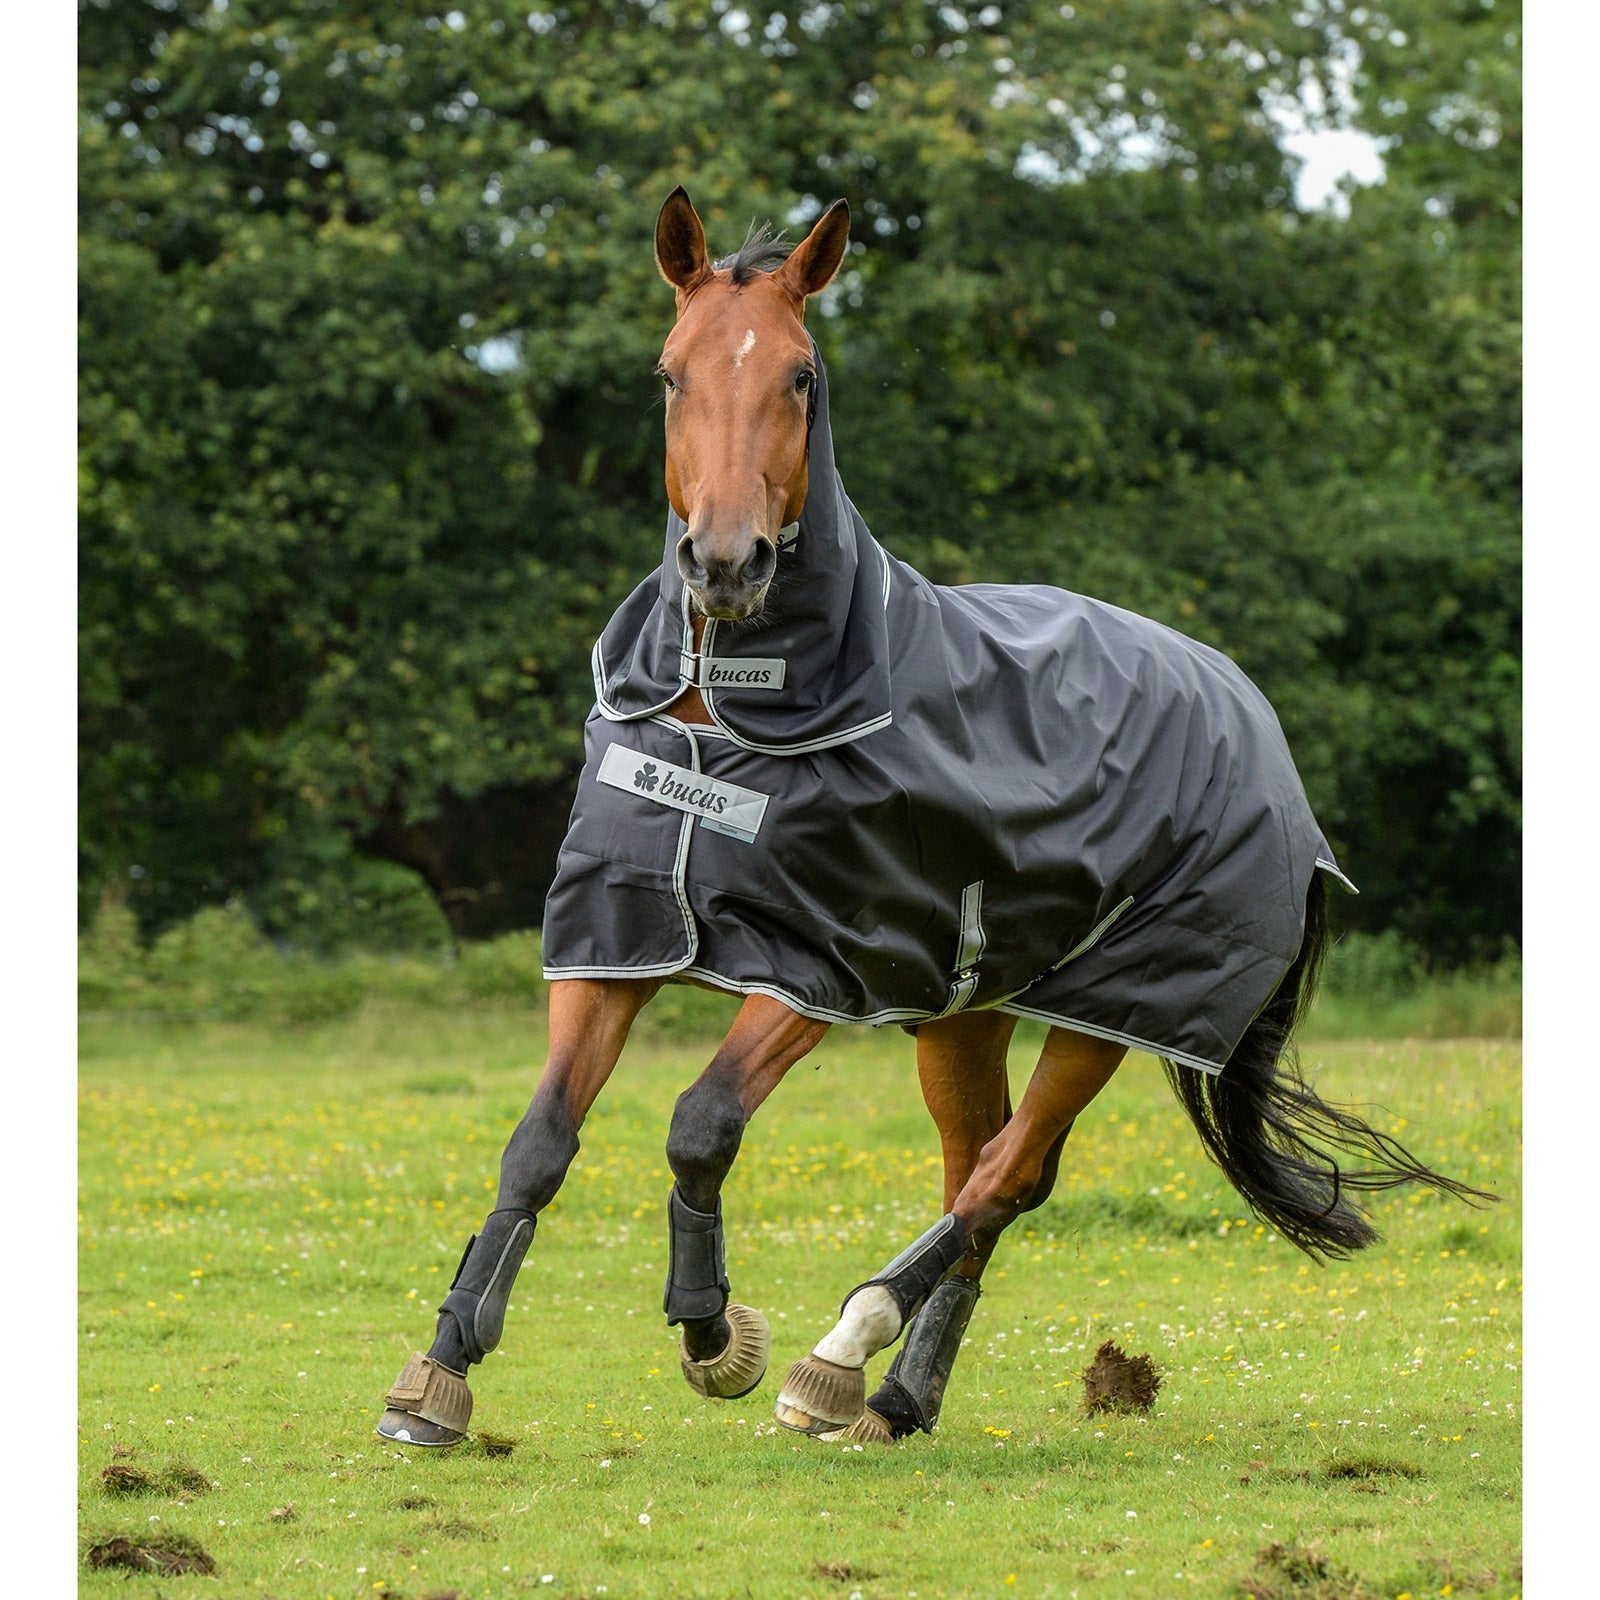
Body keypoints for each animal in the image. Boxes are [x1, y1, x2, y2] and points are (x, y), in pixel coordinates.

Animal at [375, 187, 1486, 1450]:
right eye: (668, 373)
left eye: (800, 376)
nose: (724, 562)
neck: (724, 708)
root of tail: (1246, 708)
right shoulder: (610, 944)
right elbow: (537, 1147)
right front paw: (439, 1372)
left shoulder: (814, 967)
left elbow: (700, 1126)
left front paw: (716, 1336)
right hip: (963, 1014)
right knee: (982, 1166)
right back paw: (897, 1396)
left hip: (1114, 1008)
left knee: (1005, 1176)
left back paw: (837, 1357)